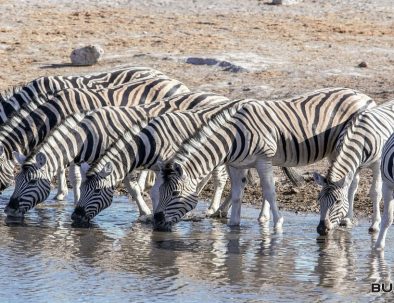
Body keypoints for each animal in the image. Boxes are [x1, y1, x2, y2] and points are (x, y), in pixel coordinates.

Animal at [5, 91, 228, 220]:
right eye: (16, 180)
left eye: (32, 182)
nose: (9, 210)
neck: (86, 136)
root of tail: (221, 97)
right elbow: (77, 179)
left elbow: (135, 188)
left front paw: (146, 213)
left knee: (220, 178)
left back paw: (213, 209)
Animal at [151, 89, 376, 232]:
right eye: (160, 190)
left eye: (175, 194)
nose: (156, 222)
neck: (233, 136)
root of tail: (365, 97)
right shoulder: (236, 164)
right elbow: (237, 195)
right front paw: (234, 225)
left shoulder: (263, 159)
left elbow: (269, 191)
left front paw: (277, 224)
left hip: (345, 147)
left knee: (351, 183)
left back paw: (347, 219)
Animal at [314, 100, 394, 235]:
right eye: (319, 199)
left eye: (338, 201)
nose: (321, 229)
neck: (361, 137)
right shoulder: (355, 166)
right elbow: (351, 189)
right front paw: (347, 219)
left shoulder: (378, 165)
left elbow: (375, 192)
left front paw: (375, 224)